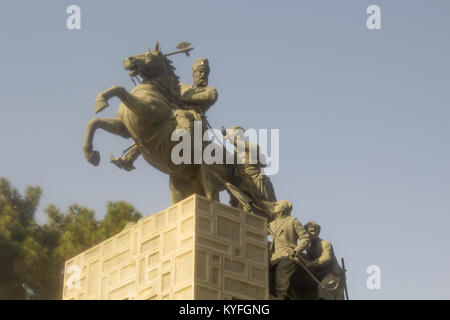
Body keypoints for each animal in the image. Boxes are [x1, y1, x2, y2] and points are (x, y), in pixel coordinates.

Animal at [82, 43, 234, 202]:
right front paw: (91, 155)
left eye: (150, 55)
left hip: (208, 177)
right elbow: (95, 122)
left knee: (213, 197)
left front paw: (101, 101)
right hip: (182, 184)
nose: (128, 60)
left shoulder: (150, 111)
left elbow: (119, 89)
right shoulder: (123, 127)